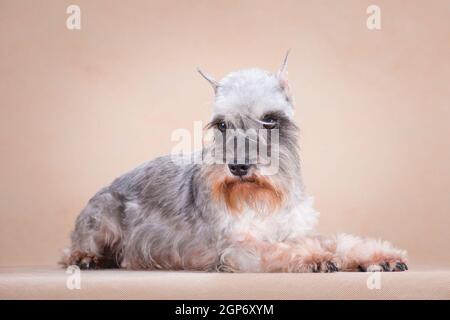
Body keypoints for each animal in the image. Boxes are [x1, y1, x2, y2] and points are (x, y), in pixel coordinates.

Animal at [61, 52, 410, 272]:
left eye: (270, 120)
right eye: (222, 125)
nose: (239, 167)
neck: (264, 200)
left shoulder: (295, 228)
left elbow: (337, 240)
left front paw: (381, 255)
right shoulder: (240, 248)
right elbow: (282, 249)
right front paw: (316, 258)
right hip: (101, 218)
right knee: (73, 250)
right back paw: (86, 258)